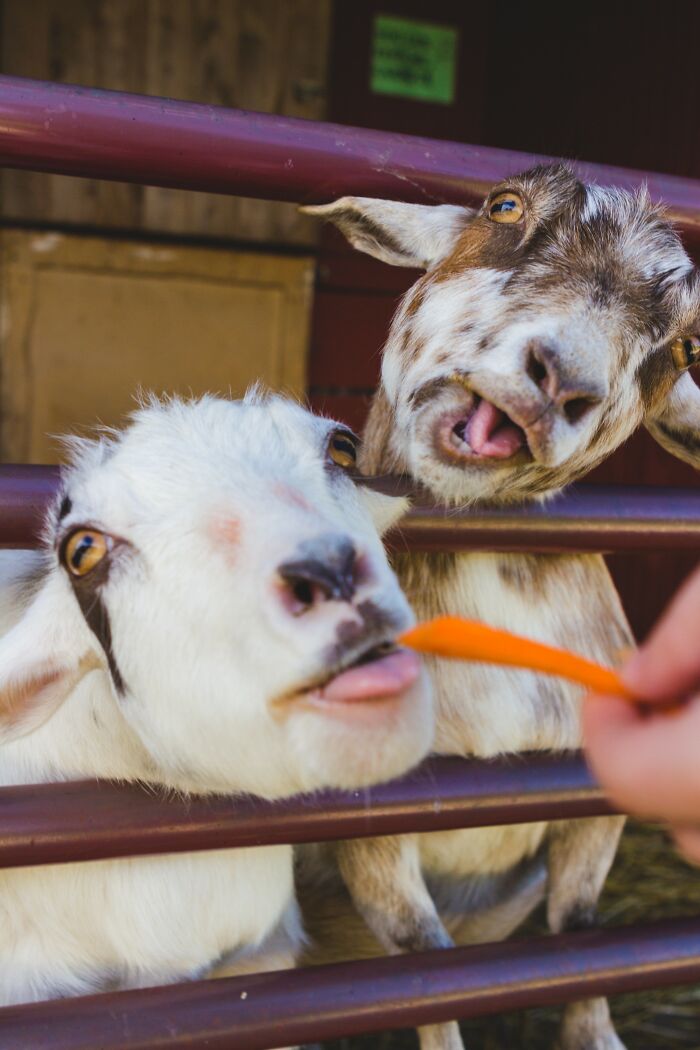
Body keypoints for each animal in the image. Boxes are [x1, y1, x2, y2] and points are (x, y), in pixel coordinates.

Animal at [303, 164, 700, 1050]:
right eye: (504, 206)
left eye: (687, 344)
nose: (562, 377)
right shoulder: (367, 827)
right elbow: (426, 964)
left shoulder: (591, 804)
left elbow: (579, 936)